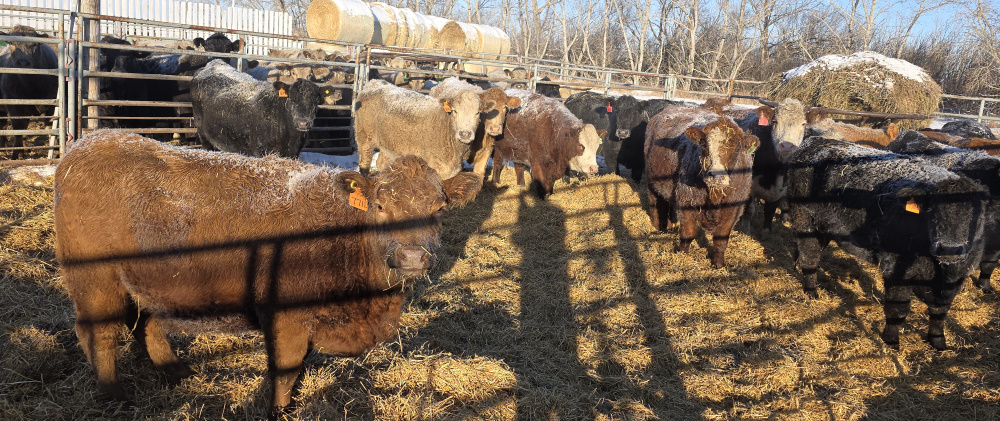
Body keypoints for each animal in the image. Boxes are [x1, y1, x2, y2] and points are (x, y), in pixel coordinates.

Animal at [0, 25, 57, 159]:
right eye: (11, 43)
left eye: (35, 44)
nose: (23, 63)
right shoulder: (14, 109)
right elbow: (18, 133)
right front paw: (16, 155)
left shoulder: (51, 106)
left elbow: (50, 128)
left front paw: (56, 151)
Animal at [54, 130, 482, 417]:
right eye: (379, 205)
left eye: (439, 209)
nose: (412, 256)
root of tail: (90, 143)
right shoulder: (286, 320)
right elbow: (286, 371)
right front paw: (278, 410)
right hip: (96, 280)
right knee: (99, 333)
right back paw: (114, 393)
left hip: (148, 281)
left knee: (146, 323)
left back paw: (175, 370)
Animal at [191, 60, 340, 158]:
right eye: (291, 100)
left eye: (316, 102)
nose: (303, 123)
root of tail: (214, 63)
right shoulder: (259, 150)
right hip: (204, 135)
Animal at [644, 106, 759, 268]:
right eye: (704, 144)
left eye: (737, 149)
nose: (716, 176)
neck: (714, 197)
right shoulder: (687, 202)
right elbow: (688, 233)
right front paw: (682, 256)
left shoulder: (733, 211)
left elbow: (721, 240)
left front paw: (718, 264)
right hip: (651, 181)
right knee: (655, 204)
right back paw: (658, 227)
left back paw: (669, 226)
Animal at [786, 136, 988, 350]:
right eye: (933, 213)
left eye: (976, 215)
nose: (949, 249)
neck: (939, 270)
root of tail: (816, 141)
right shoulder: (896, 269)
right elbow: (897, 309)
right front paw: (891, 341)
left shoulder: (955, 279)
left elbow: (940, 312)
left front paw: (938, 341)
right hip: (805, 220)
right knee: (810, 256)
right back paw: (811, 292)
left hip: (823, 229)